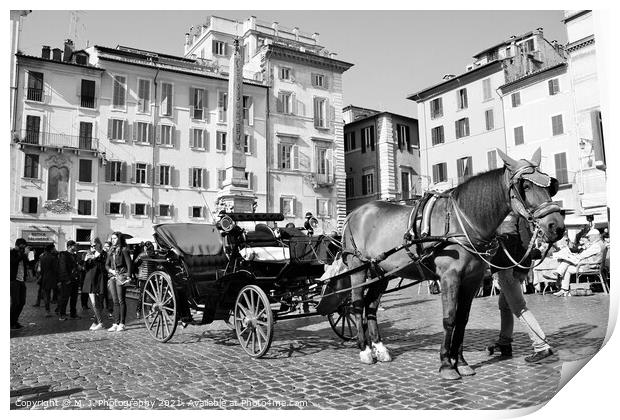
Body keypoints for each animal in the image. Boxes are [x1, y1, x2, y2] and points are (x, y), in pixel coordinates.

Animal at [342, 148, 564, 380]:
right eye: (526, 186)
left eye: (550, 186)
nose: (556, 226)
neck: (463, 222)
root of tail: (354, 213)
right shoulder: (450, 278)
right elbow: (449, 319)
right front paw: (446, 364)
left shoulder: (472, 280)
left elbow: (462, 319)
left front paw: (461, 362)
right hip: (357, 268)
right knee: (357, 305)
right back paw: (365, 350)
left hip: (381, 272)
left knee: (371, 307)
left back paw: (379, 347)